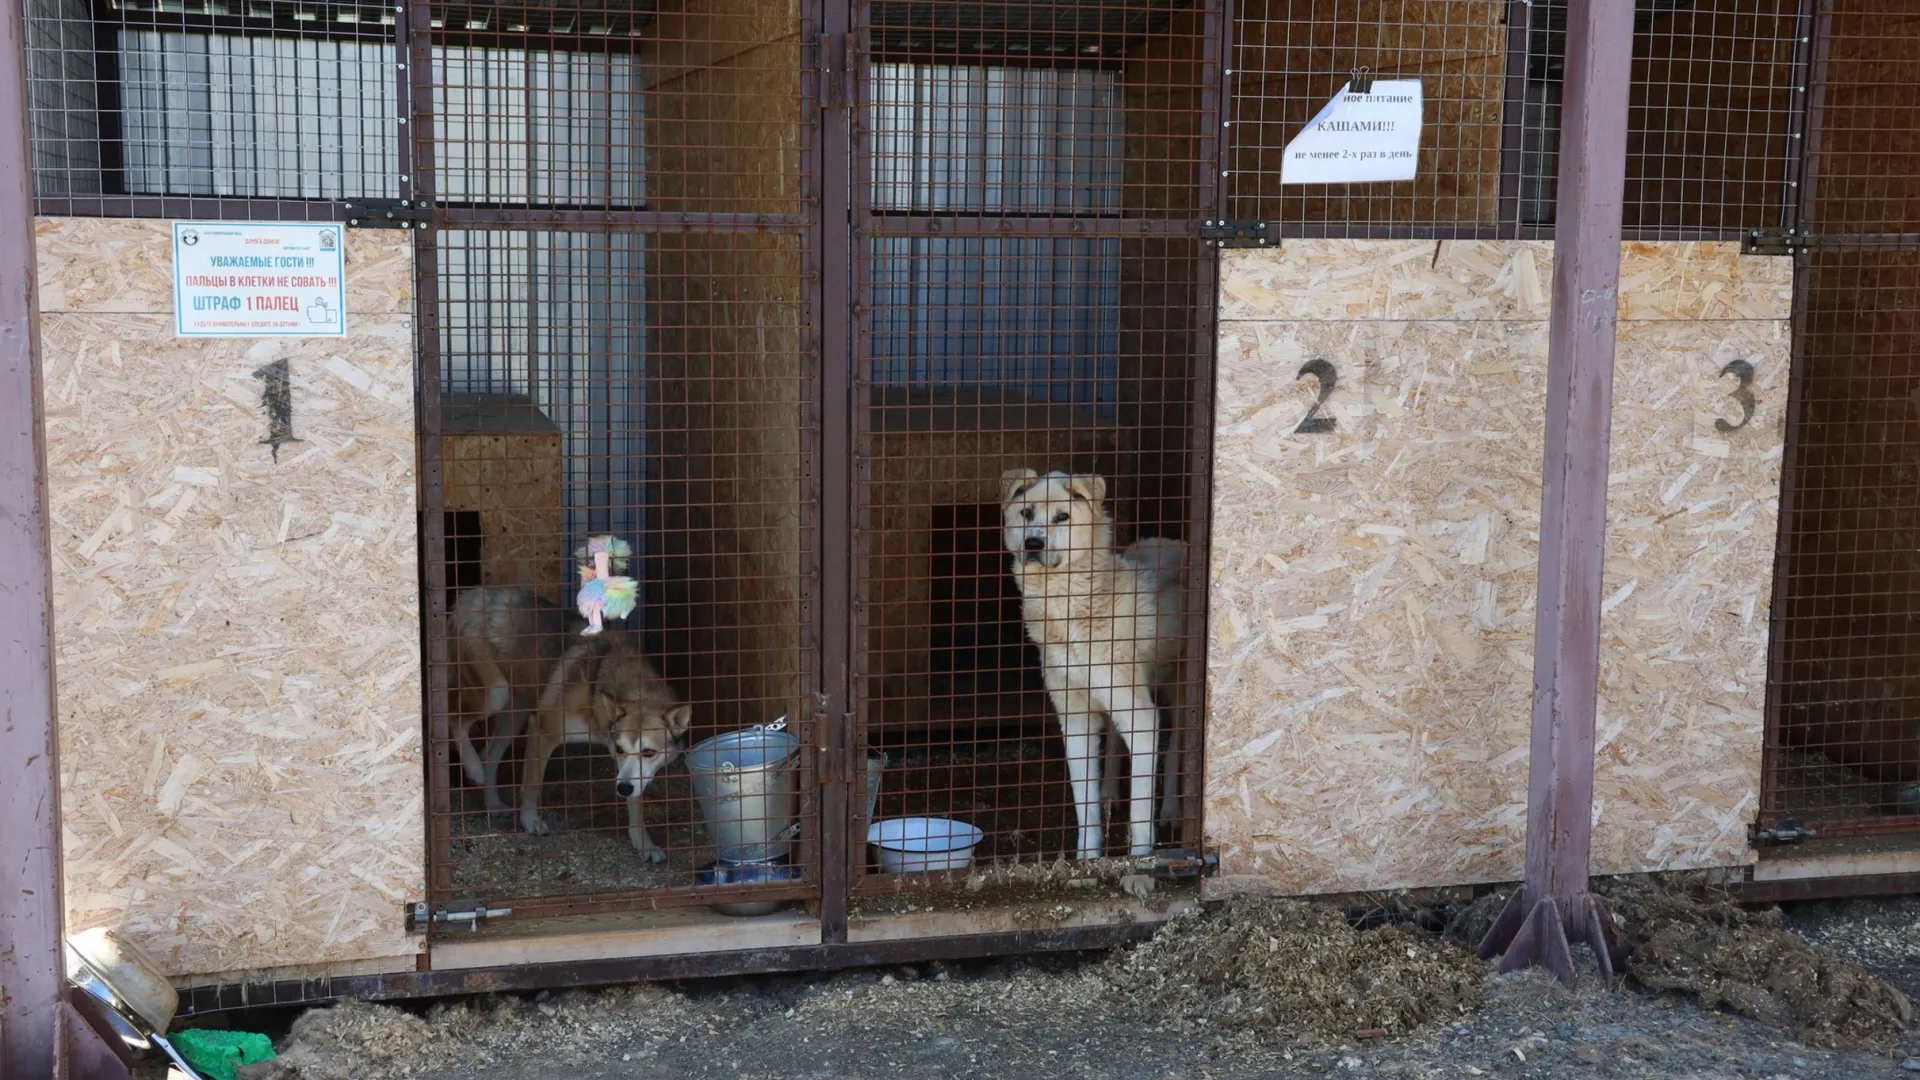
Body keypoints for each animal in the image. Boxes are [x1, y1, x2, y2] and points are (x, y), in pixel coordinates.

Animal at [522, 630, 695, 857]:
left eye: (648, 752)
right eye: (619, 748)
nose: (623, 789)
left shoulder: (631, 776)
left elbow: (636, 803)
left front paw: (644, 844)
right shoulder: (542, 730)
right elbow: (532, 782)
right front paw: (530, 820)